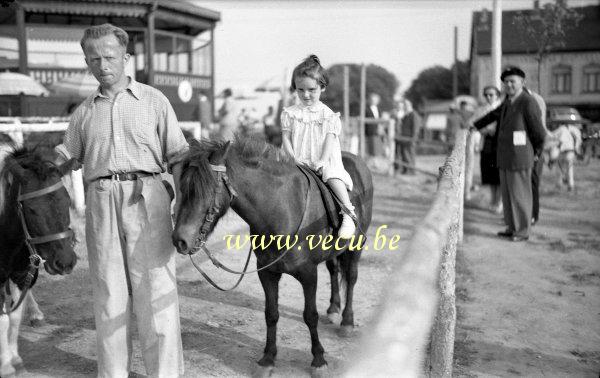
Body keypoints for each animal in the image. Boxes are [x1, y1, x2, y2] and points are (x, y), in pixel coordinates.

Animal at [0, 145, 78, 376]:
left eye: (67, 200)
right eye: (31, 208)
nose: (64, 262)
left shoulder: (21, 273)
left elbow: (14, 318)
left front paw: (15, 359)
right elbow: (3, 320)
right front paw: (5, 366)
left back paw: (36, 313)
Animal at [171, 136, 372, 376]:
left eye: (206, 190)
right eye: (182, 187)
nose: (180, 240)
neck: (281, 209)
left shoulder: (308, 274)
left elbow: (310, 315)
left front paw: (318, 360)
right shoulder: (267, 272)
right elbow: (271, 314)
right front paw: (267, 359)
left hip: (356, 247)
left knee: (350, 277)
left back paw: (347, 322)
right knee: (334, 270)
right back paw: (333, 310)